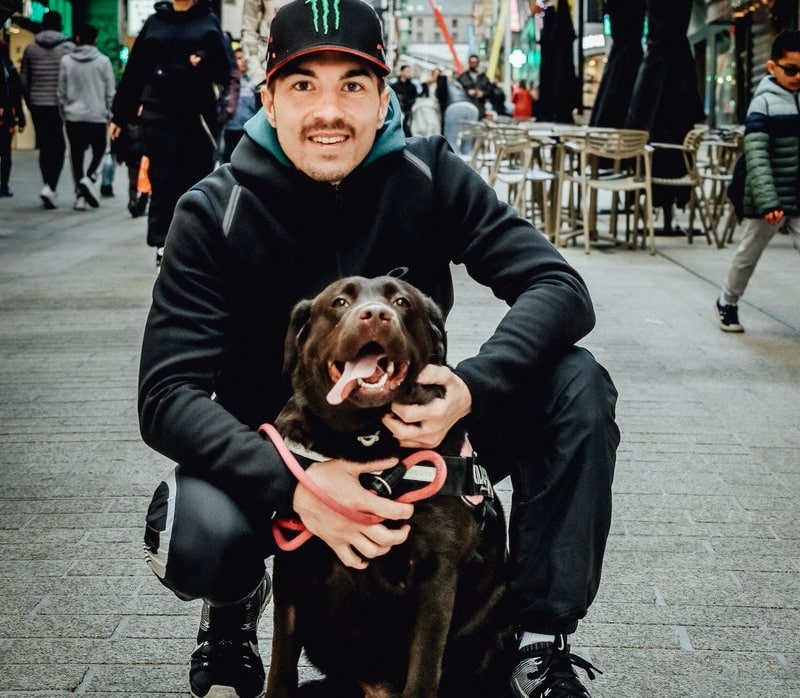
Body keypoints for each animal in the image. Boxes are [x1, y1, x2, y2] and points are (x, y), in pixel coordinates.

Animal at [262, 276, 512, 696]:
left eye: (401, 302)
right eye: (339, 302)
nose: (377, 314)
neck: (367, 440)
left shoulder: (436, 577)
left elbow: (423, 673)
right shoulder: (292, 565)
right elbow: (280, 666)